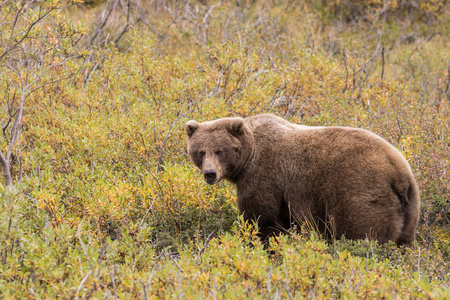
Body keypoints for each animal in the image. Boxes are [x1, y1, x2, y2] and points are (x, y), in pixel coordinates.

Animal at [185, 113, 420, 245]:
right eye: (201, 151)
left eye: (219, 150)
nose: (210, 173)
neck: (248, 157)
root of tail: (398, 172)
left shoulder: (265, 175)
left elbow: (262, 218)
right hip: (411, 206)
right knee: (403, 241)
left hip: (361, 193)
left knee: (363, 234)